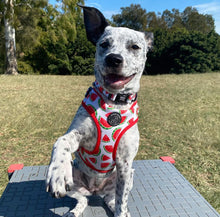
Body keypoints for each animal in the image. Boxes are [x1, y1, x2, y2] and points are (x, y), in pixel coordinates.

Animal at [45, 5, 153, 217]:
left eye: (135, 47)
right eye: (104, 44)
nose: (114, 59)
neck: (114, 104)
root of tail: (96, 189)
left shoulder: (125, 164)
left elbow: (121, 203)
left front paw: (121, 211)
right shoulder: (77, 135)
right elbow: (61, 141)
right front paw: (58, 173)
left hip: (126, 177)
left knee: (112, 199)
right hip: (76, 178)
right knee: (83, 199)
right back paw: (74, 210)